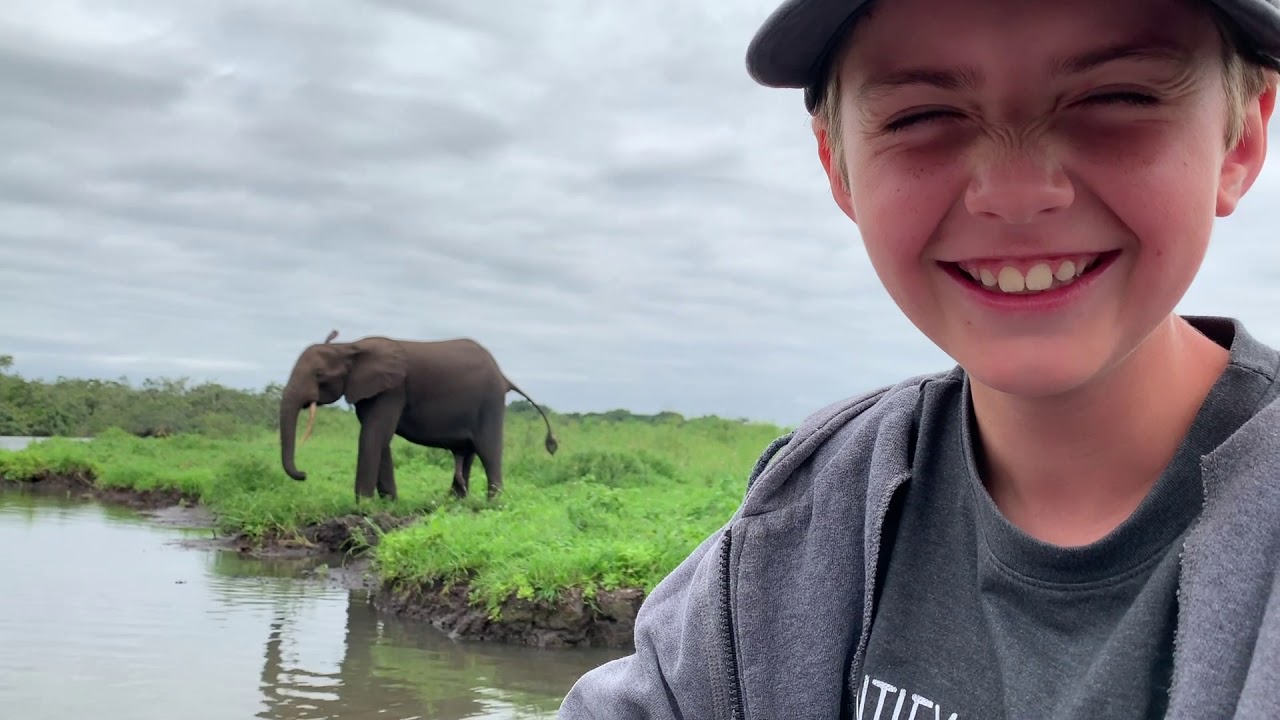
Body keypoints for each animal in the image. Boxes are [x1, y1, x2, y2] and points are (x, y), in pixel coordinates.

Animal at [278, 330, 558, 502]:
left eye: (318, 375)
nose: (303, 474)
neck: (349, 347)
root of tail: (503, 376)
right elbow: (380, 439)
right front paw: (389, 503)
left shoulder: (392, 390)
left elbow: (373, 435)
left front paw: (363, 507)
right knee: (467, 455)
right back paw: (455, 502)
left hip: (489, 402)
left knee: (488, 451)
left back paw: (492, 504)